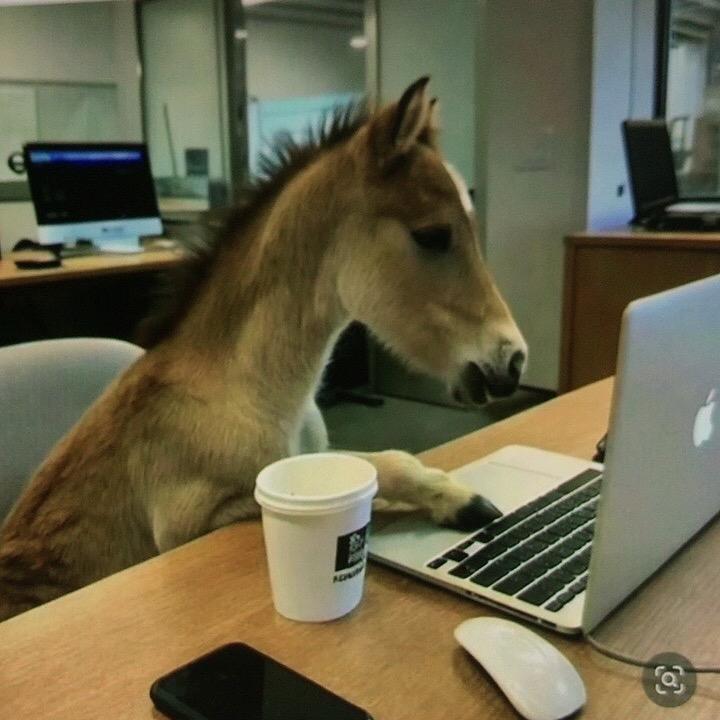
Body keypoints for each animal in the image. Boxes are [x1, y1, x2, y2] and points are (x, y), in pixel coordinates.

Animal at [0, 77, 527, 621]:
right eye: (432, 235)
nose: (511, 360)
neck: (240, 390)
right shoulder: (199, 520)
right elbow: (379, 475)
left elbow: (385, 464)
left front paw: (461, 500)